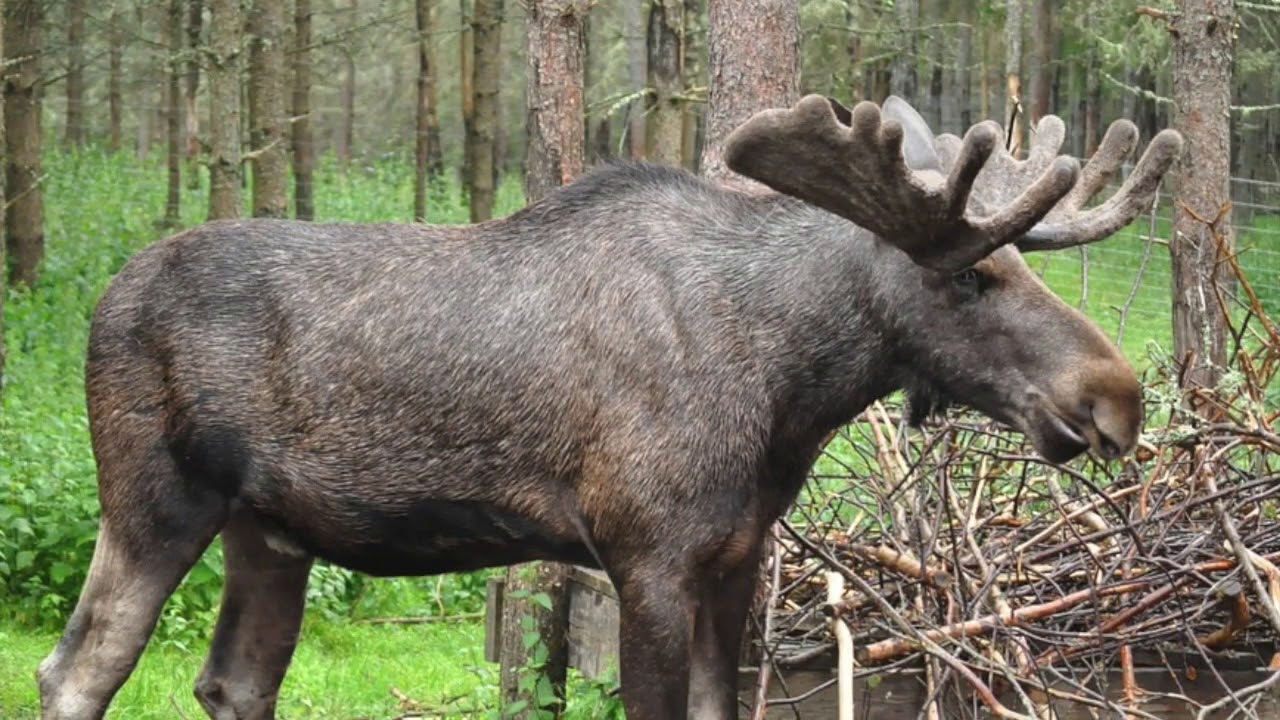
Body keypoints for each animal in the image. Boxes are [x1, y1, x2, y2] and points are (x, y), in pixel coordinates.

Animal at [37, 96, 1182, 720]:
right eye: (971, 279)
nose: (1116, 397)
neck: (785, 393)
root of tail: (100, 302)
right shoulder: (646, 556)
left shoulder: (734, 559)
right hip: (153, 502)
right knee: (74, 669)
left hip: (269, 531)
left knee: (231, 683)